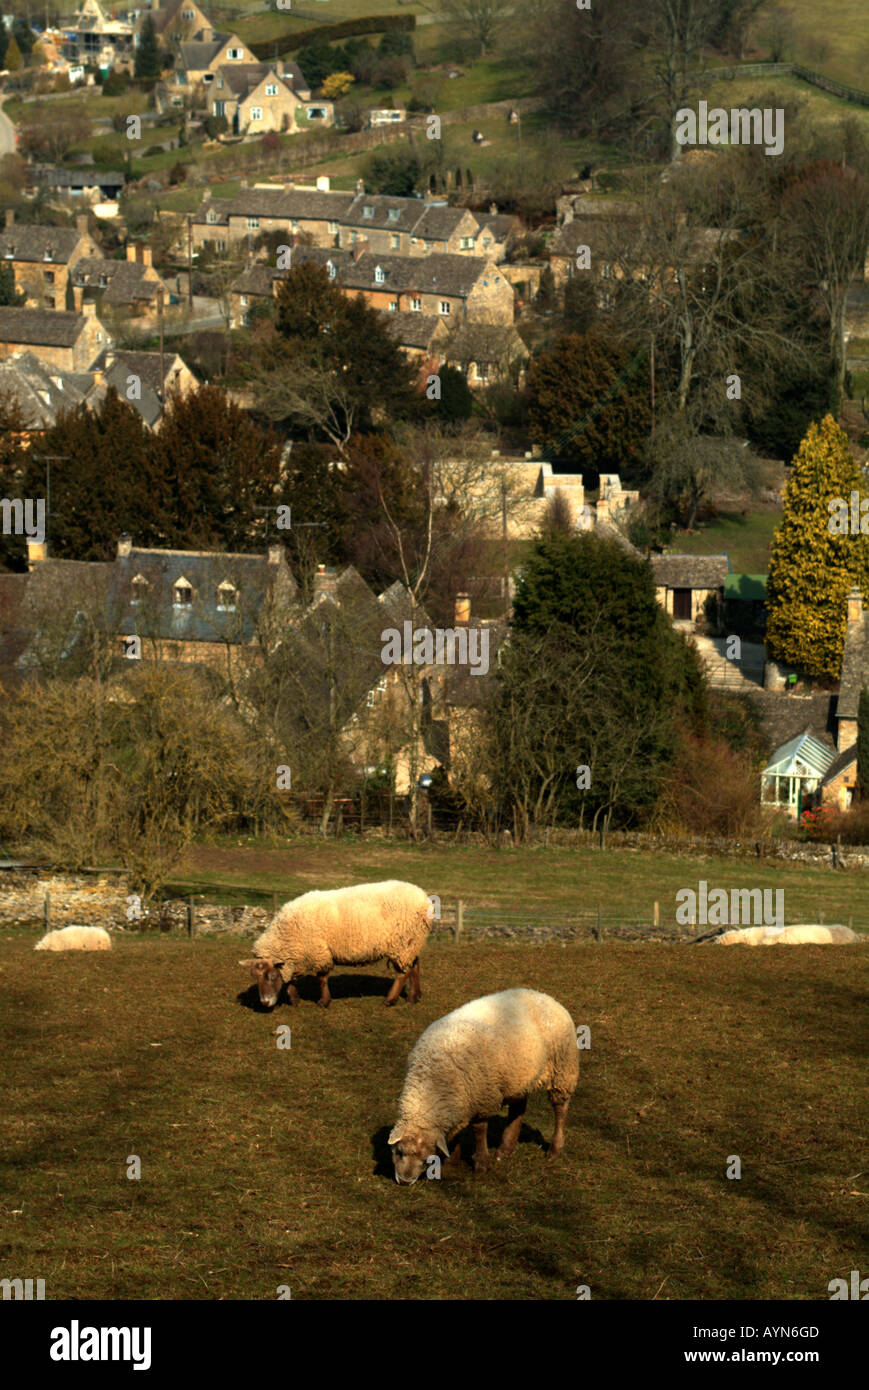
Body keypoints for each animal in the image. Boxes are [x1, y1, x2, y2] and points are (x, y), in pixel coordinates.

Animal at [237, 878, 431, 1011]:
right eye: (255, 977)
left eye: (271, 976)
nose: (264, 1003)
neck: (287, 932)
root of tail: (424, 898)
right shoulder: (295, 957)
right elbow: (290, 980)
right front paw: (294, 999)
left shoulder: (318, 952)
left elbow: (321, 978)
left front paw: (323, 1002)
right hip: (412, 941)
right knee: (415, 965)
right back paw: (414, 997)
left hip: (402, 942)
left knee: (402, 974)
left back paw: (390, 1000)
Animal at [386, 989, 575, 1184]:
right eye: (399, 1152)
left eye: (426, 1160)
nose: (404, 1181)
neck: (433, 1082)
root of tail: (544, 996)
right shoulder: (460, 1100)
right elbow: (457, 1131)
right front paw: (452, 1161)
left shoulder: (483, 1097)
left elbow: (479, 1130)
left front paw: (482, 1163)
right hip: (519, 1078)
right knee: (518, 1108)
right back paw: (505, 1149)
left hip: (563, 1068)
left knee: (560, 1108)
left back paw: (555, 1150)